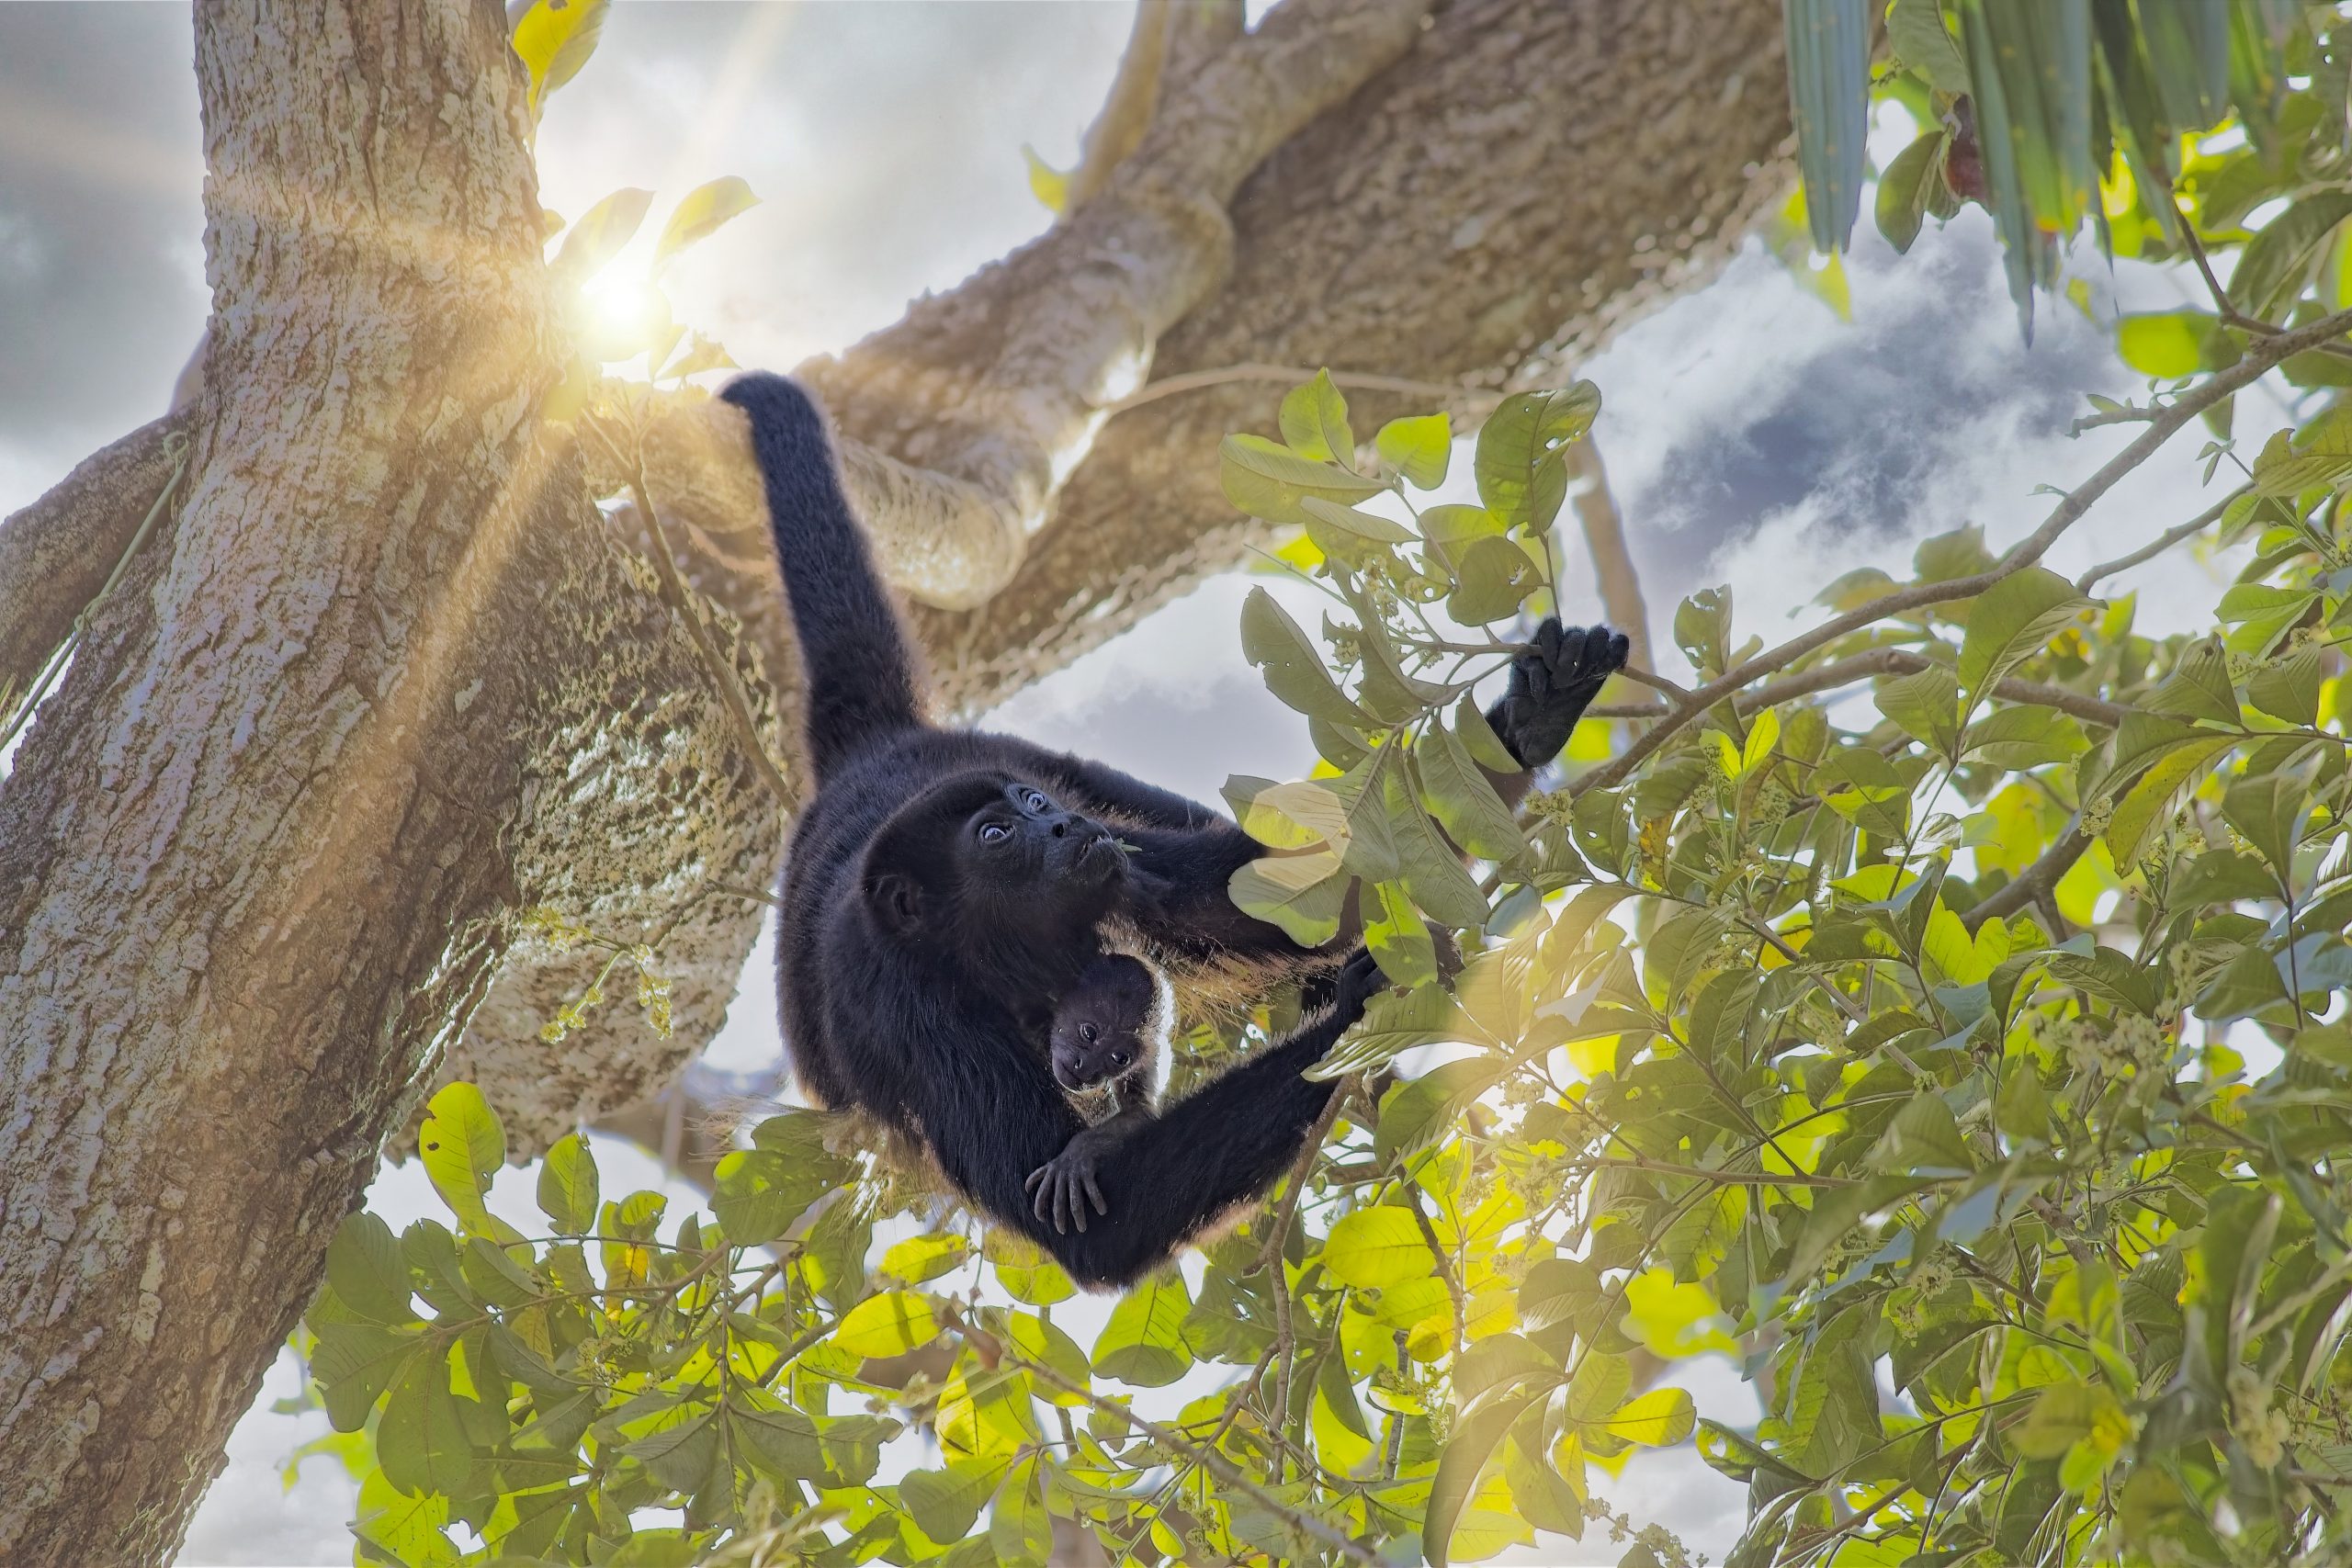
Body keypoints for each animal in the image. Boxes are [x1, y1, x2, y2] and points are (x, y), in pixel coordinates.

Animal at [720, 370, 1627, 1287]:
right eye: (996, 835)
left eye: (1033, 805)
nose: (1059, 824)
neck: (992, 950)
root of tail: (874, 755)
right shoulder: (909, 1014)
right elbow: (1095, 1225)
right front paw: (1356, 1013)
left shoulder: (1110, 853)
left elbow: (1274, 897)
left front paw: (1527, 716)